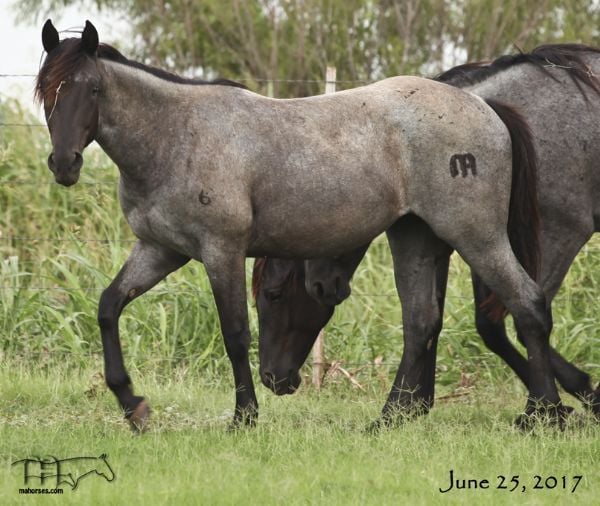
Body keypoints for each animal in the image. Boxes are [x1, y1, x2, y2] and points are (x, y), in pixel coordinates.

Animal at [36, 20, 564, 430]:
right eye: (45, 90)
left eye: (93, 89)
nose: (64, 164)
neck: (176, 136)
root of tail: (484, 108)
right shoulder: (159, 250)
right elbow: (108, 308)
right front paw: (134, 407)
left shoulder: (221, 250)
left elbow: (235, 334)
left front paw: (245, 418)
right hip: (415, 238)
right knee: (420, 323)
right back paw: (388, 420)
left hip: (478, 237)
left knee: (528, 304)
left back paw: (544, 415)